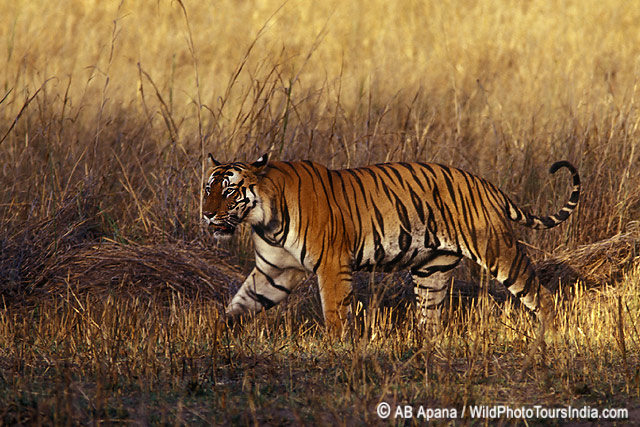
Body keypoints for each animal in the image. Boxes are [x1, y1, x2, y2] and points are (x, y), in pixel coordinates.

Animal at [202, 154, 580, 334]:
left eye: (230, 191)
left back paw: (548, 340)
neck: (264, 219)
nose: (206, 215)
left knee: (541, 295)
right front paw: (216, 338)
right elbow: (239, 305)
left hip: (497, 250)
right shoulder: (275, 272)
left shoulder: (332, 264)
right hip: (432, 269)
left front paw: (336, 347)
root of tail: (486, 184)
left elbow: (335, 312)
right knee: (430, 318)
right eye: (208, 188)